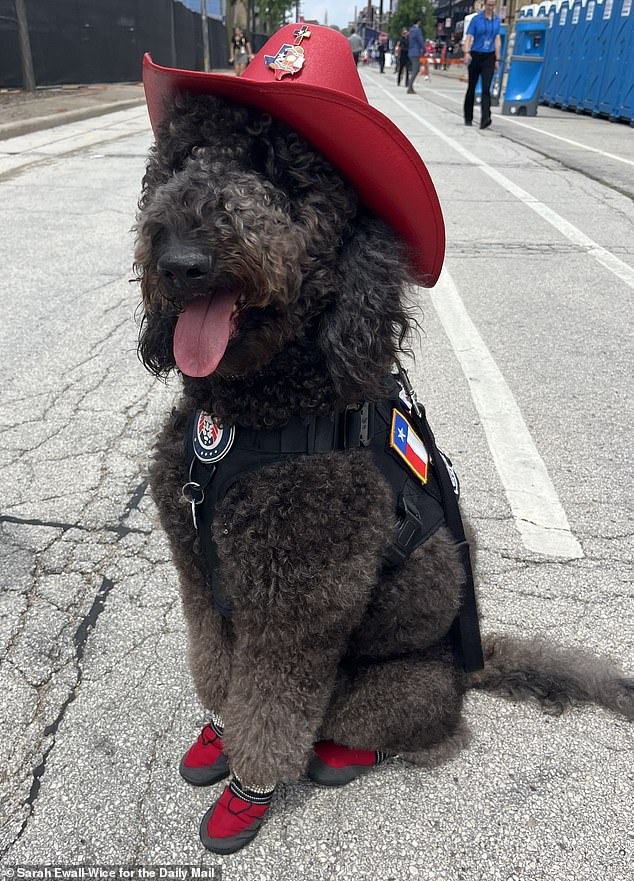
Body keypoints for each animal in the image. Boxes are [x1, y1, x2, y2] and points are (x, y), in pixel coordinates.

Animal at [135, 25, 632, 852]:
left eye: (280, 176)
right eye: (182, 161)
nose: (181, 260)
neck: (253, 416)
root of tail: (467, 667)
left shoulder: (294, 606)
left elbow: (269, 708)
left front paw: (246, 792)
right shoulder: (201, 575)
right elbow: (218, 671)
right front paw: (215, 736)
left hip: (389, 687)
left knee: (407, 727)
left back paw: (347, 753)